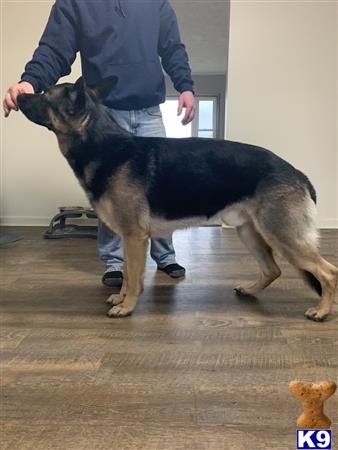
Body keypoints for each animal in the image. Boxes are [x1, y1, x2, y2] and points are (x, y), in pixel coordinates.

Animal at [16, 76, 338, 320]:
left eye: (45, 94)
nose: (18, 95)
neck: (102, 144)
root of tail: (297, 173)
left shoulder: (134, 237)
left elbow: (133, 276)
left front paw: (127, 306)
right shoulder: (128, 238)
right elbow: (127, 274)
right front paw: (120, 298)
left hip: (283, 235)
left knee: (328, 272)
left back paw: (322, 311)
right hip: (251, 233)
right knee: (273, 270)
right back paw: (249, 290)